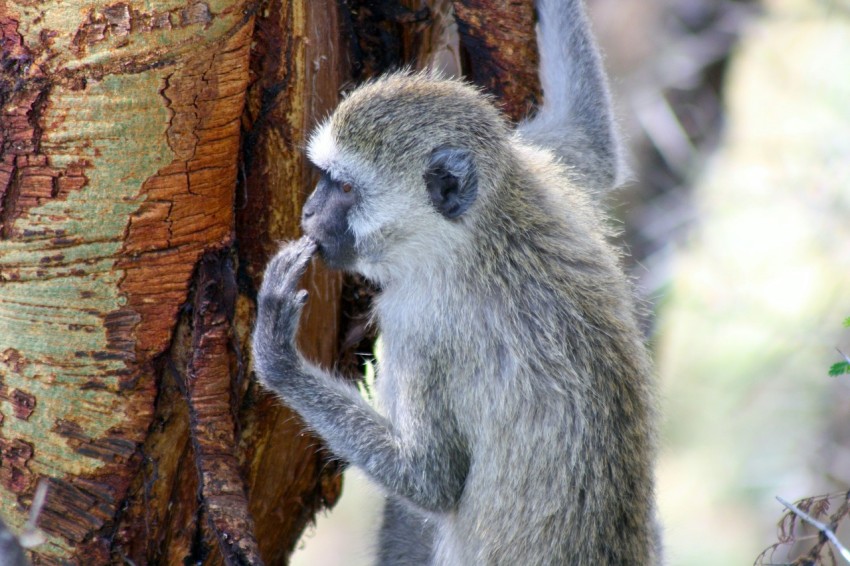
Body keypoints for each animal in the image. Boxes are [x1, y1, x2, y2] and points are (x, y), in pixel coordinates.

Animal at [252, 0, 664, 564]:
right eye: (324, 179)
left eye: (344, 187)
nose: (308, 212)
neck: (483, 232)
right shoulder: (535, 166)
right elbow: (594, 146)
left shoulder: (420, 327)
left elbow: (433, 479)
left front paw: (277, 353)